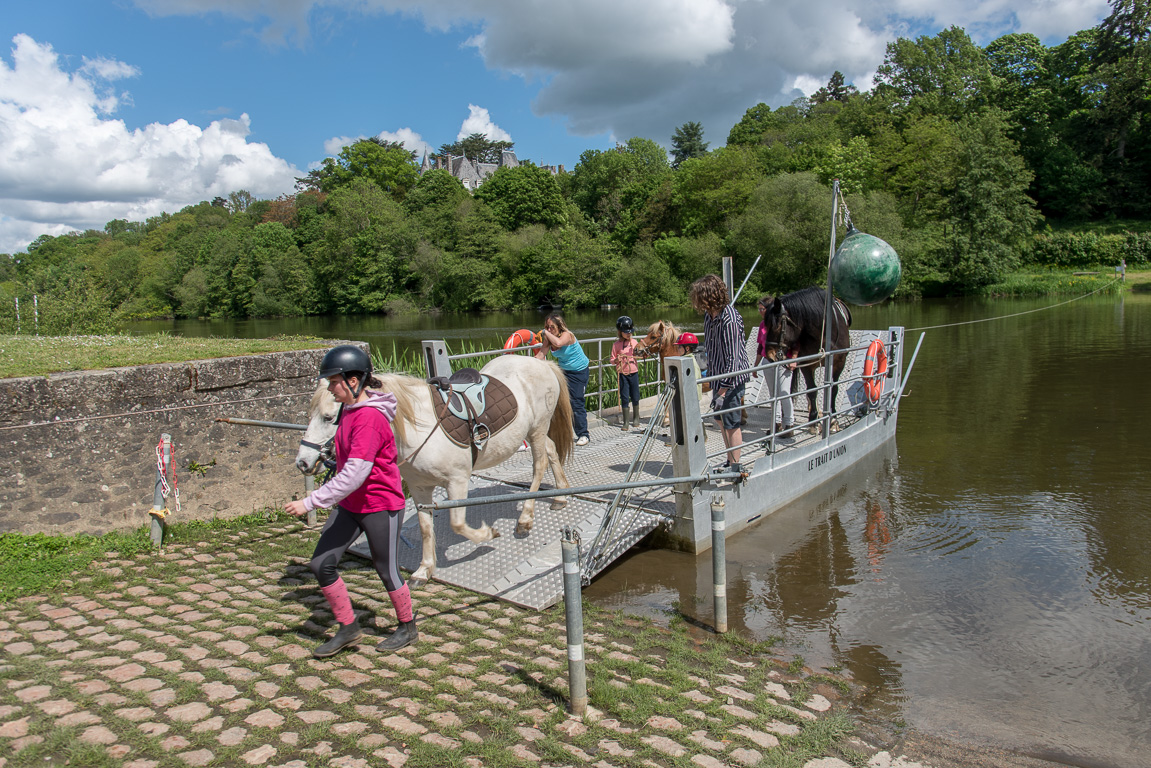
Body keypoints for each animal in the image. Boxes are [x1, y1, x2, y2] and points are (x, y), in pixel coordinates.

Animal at [292, 356, 570, 584]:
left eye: (329, 417)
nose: (303, 462)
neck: (419, 427)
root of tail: (542, 364)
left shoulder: (457, 481)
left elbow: (457, 524)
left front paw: (488, 535)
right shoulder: (419, 488)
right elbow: (426, 528)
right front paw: (424, 570)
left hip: (536, 429)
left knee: (539, 465)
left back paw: (525, 519)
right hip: (536, 432)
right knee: (551, 450)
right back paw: (560, 496)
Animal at [764, 285, 856, 426]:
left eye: (777, 325)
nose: (770, 355)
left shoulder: (839, 362)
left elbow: (834, 388)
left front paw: (833, 417)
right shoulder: (806, 364)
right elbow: (812, 390)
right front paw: (813, 419)